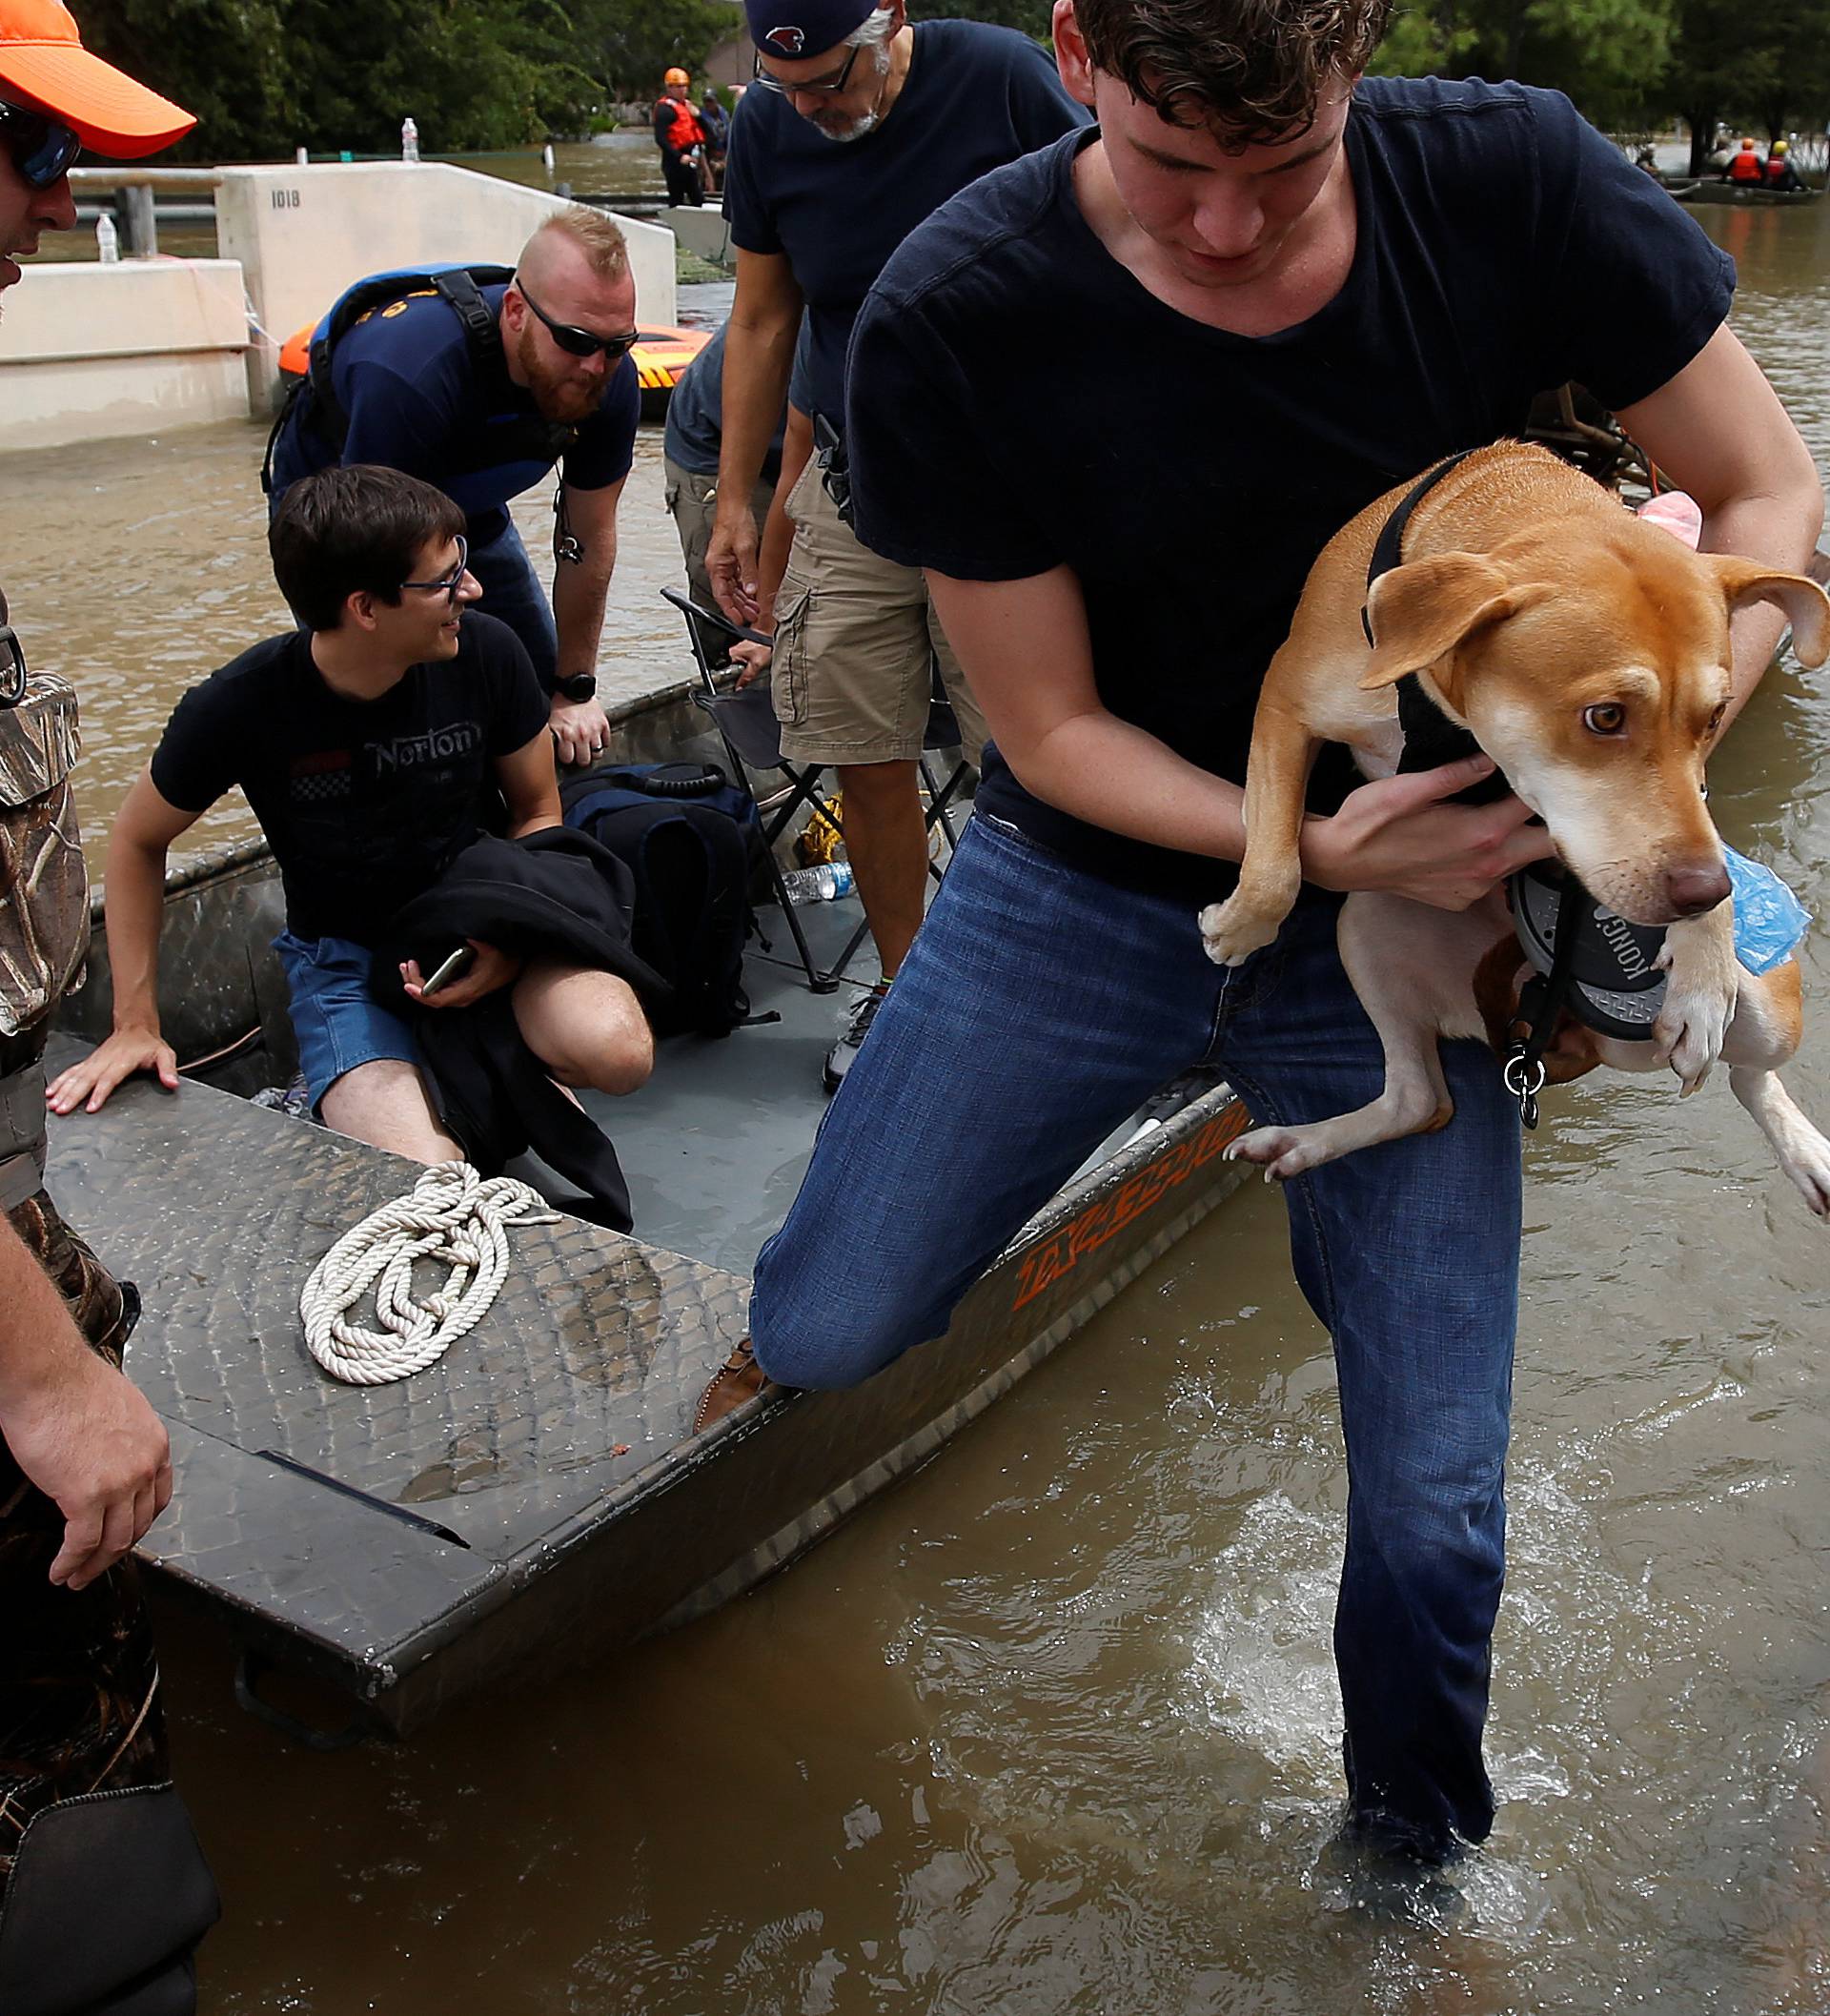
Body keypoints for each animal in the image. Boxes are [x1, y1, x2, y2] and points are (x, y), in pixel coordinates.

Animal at [1192, 439, 1830, 1210]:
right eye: (1605, 716)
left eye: (1713, 716)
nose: (1703, 893)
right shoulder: (1286, 703)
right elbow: (1277, 860)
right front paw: (1241, 927)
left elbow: (1701, 834)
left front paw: (1704, 976)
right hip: (1366, 924)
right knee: (1420, 1101)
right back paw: (1300, 1141)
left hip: (1768, 1010)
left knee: (1752, 1074)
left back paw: (1806, 1150)